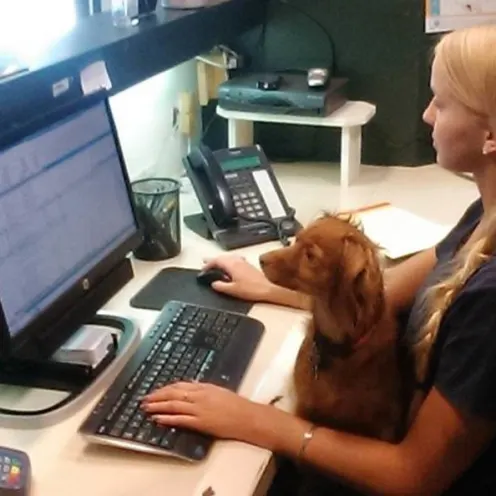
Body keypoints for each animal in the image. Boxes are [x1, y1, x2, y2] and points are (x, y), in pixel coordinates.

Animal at [260, 213, 410, 442]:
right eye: (296, 240)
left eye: (310, 256)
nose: (260, 259)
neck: (334, 348)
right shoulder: (304, 406)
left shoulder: (383, 426)